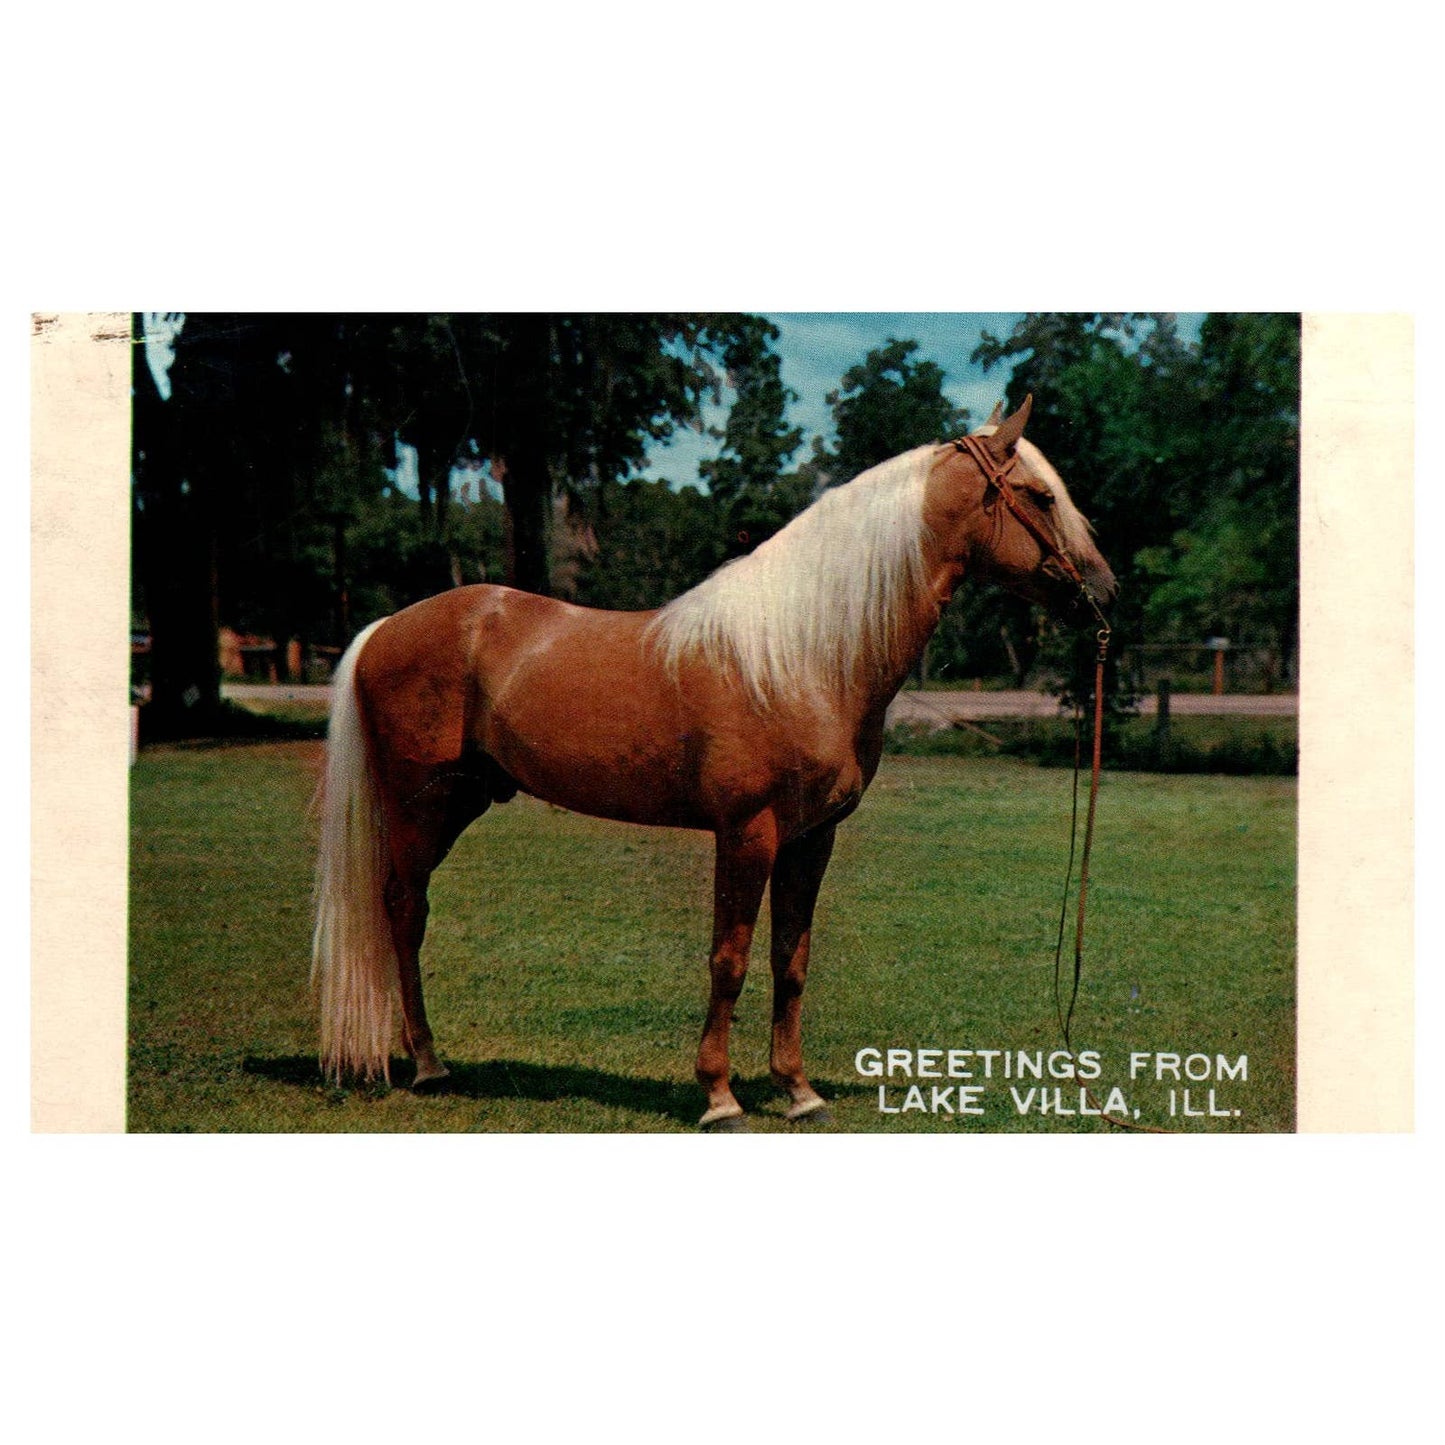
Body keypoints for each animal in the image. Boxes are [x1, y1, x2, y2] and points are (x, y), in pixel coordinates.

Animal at [310, 395, 1117, 1129]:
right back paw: (428, 1064)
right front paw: (720, 1098)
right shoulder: (746, 832)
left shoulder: (810, 838)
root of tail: (387, 626)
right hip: (420, 807)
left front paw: (798, 1092)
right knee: (404, 909)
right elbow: (728, 961)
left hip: (462, 799)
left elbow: (790, 960)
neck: (803, 656)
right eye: (1041, 495)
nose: (1106, 593)